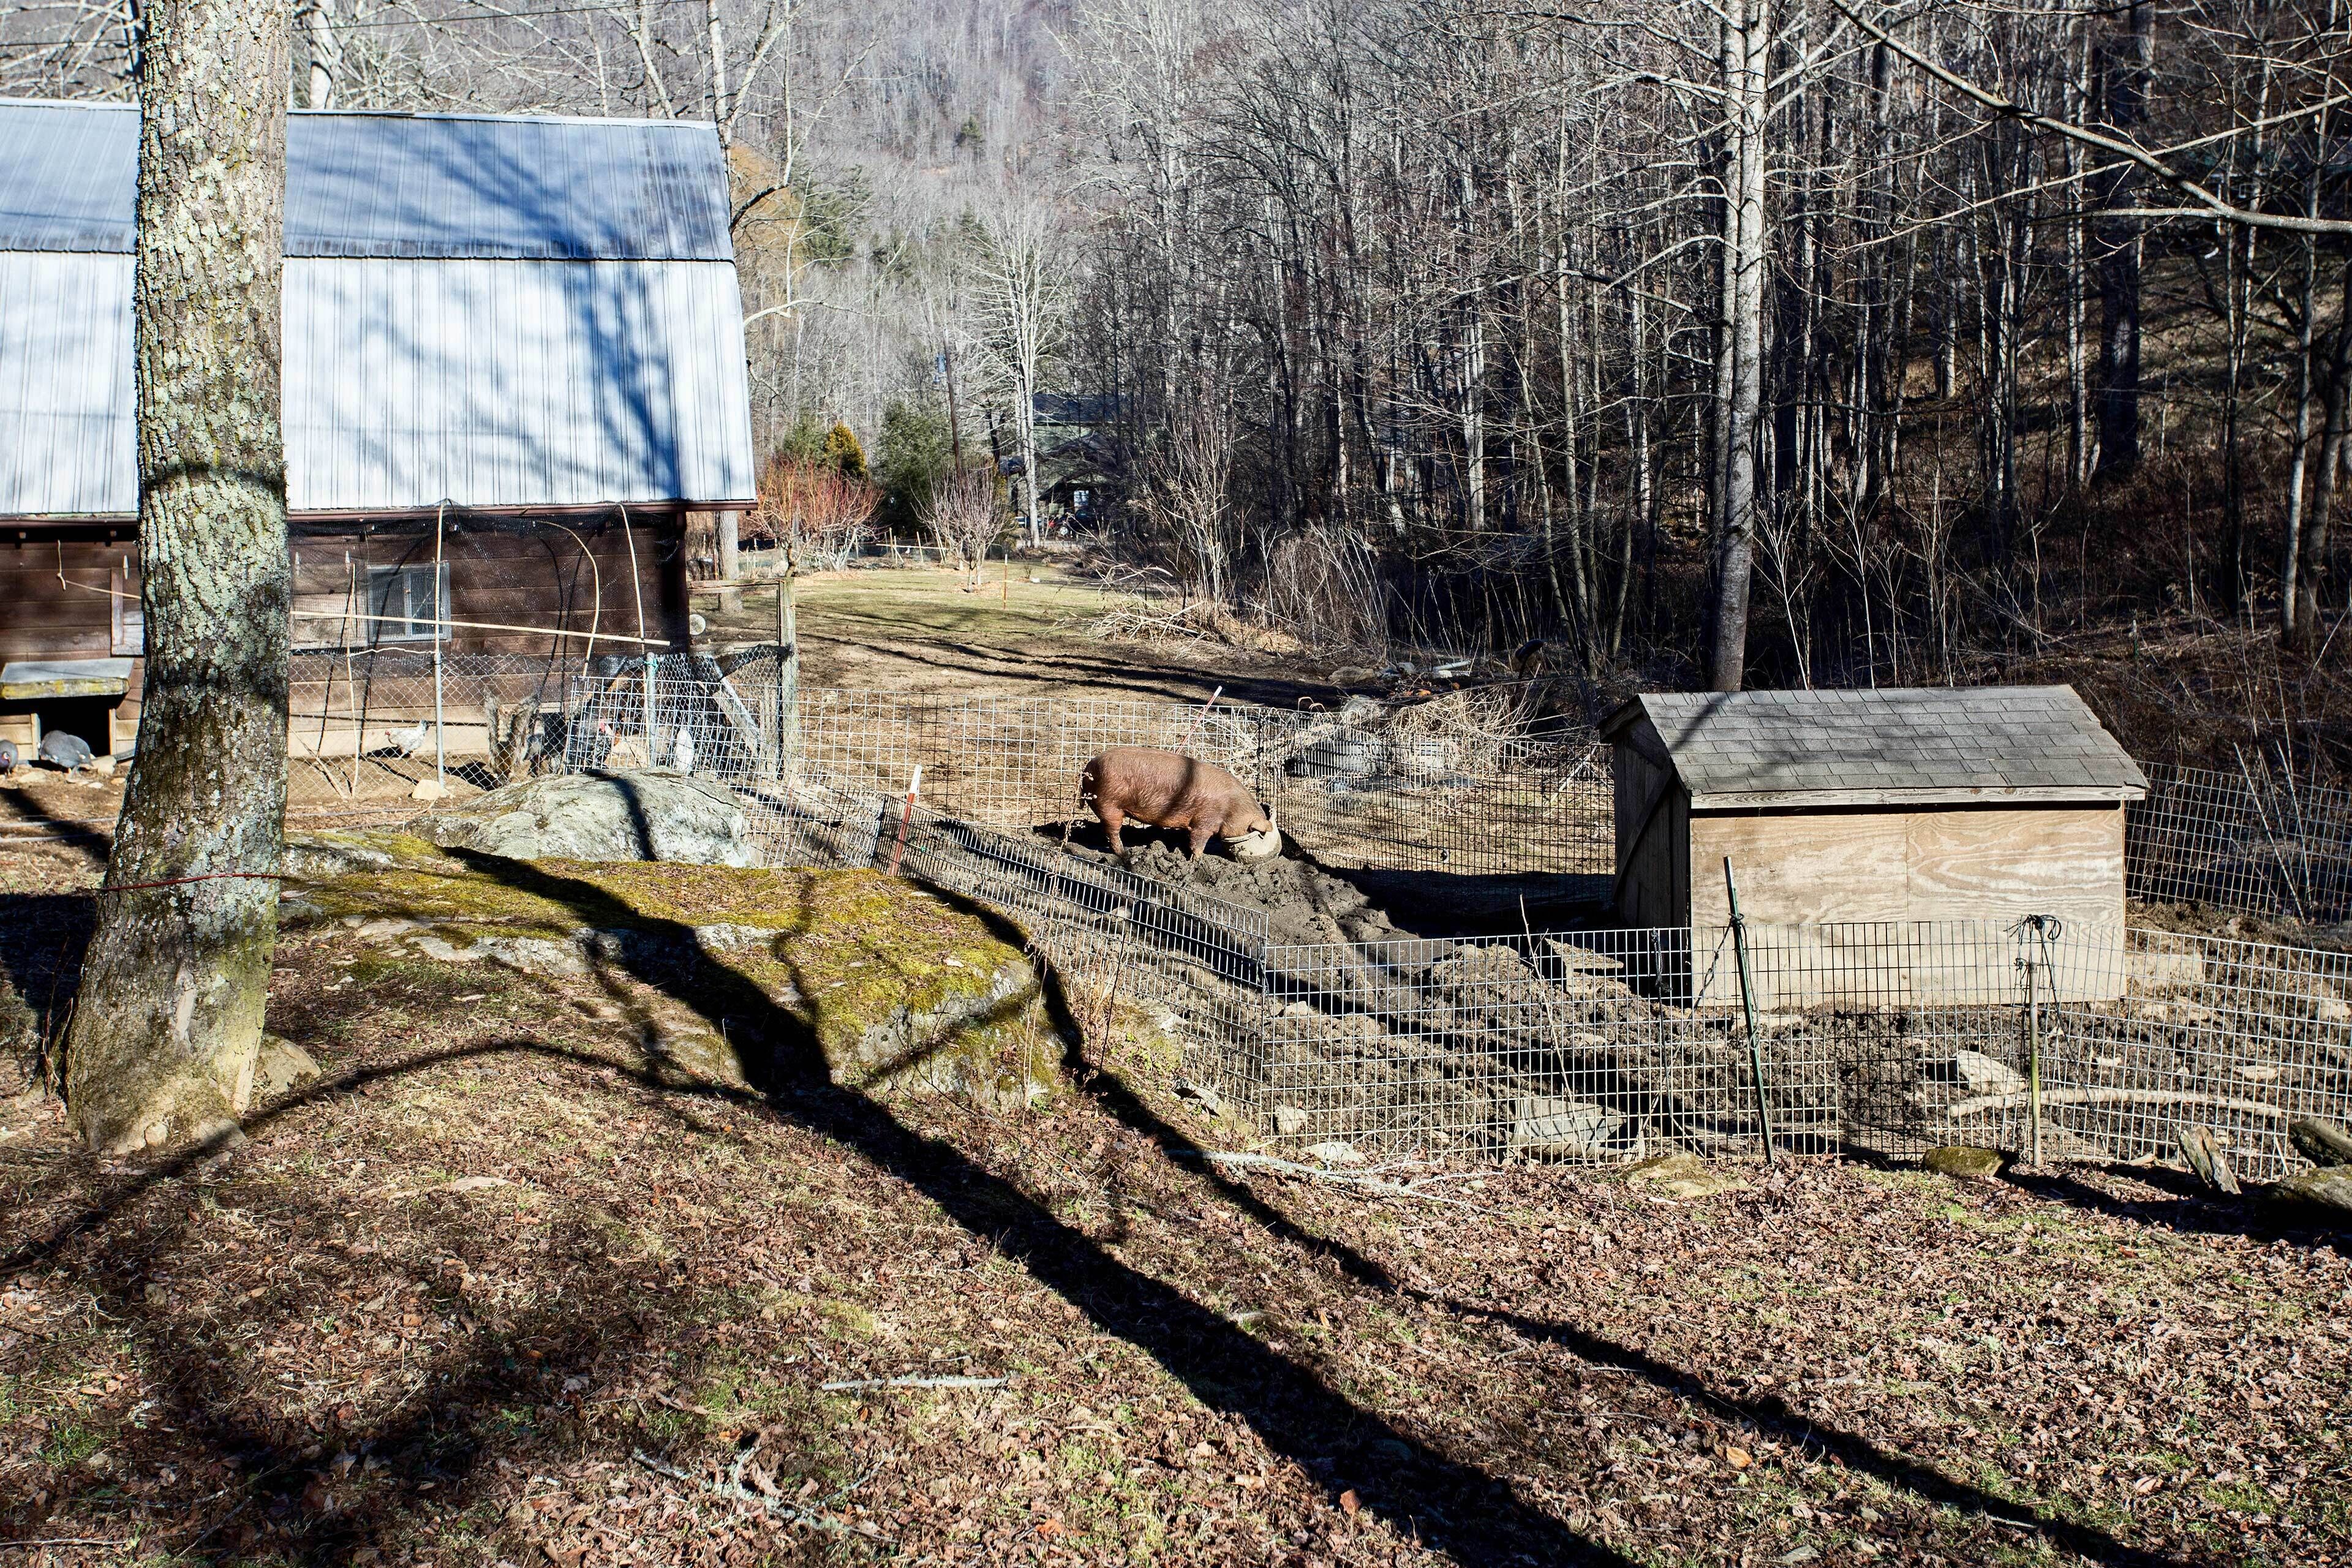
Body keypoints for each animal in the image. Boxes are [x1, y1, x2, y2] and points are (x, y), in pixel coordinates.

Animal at [1079, 746, 1281, 861]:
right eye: (1254, 831)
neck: (1232, 809)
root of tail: (1088, 768)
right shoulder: (1204, 822)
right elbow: (1198, 842)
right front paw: (1195, 861)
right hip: (1110, 805)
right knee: (1112, 833)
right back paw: (1124, 854)